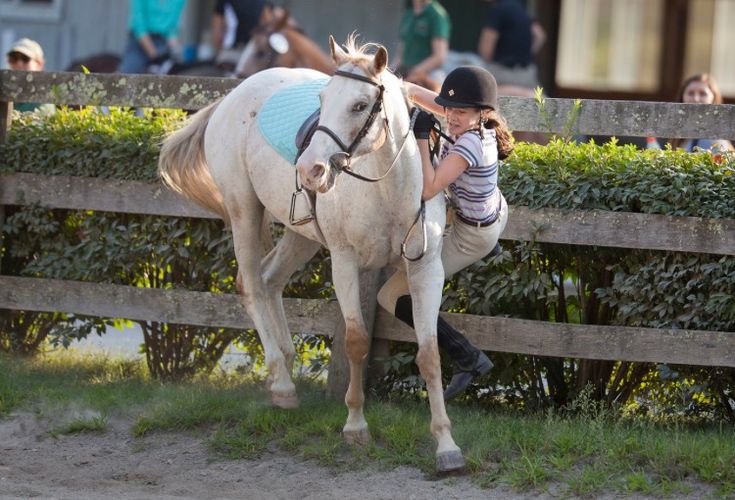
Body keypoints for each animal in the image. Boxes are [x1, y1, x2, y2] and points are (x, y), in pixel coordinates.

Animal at [160, 36, 466, 472]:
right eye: (323, 98)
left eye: (359, 105)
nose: (310, 169)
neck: (388, 191)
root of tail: (232, 96)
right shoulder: (345, 263)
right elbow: (356, 341)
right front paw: (355, 425)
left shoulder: (425, 271)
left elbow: (429, 354)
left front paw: (446, 444)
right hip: (243, 211)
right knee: (251, 284)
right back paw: (282, 383)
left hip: (299, 234)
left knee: (270, 280)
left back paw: (286, 364)